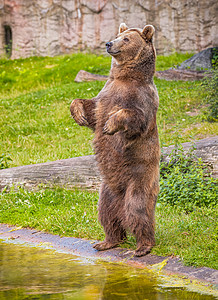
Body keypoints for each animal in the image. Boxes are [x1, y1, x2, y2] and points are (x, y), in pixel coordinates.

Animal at [70, 22, 160, 255]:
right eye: (118, 35)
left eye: (126, 39)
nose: (109, 43)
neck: (125, 77)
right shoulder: (105, 93)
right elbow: (91, 109)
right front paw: (79, 113)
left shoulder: (142, 98)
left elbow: (134, 118)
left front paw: (110, 125)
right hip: (107, 190)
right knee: (107, 213)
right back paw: (107, 241)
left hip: (140, 177)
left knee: (138, 209)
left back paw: (143, 246)